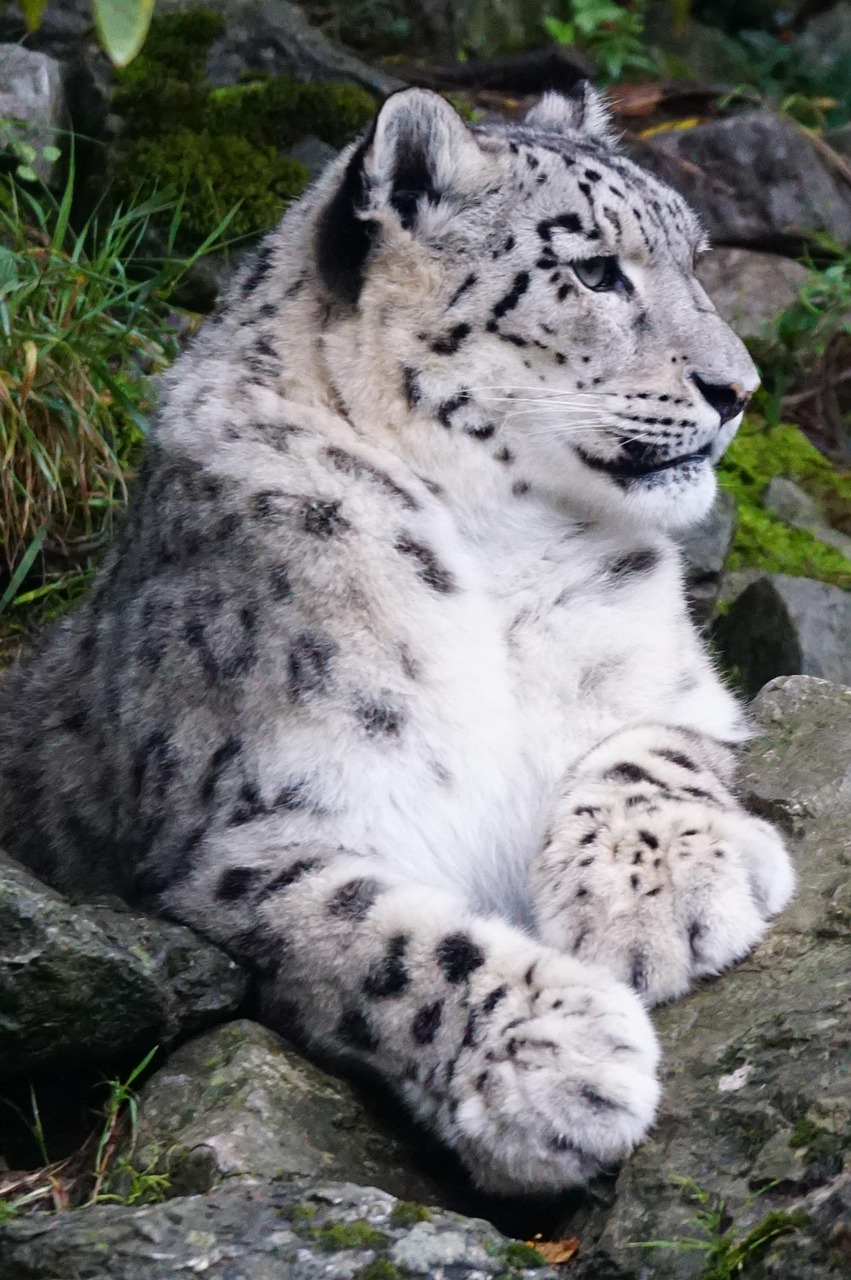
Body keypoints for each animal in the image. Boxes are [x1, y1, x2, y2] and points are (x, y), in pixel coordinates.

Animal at [0, 85, 795, 1195]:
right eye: (594, 267)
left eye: (694, 258)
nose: (740, 390)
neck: (501, 549)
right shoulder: (251, 834)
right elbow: (383, 944)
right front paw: (557, 1061)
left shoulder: (668, 684)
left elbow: (647, 753)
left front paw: (659, 898)